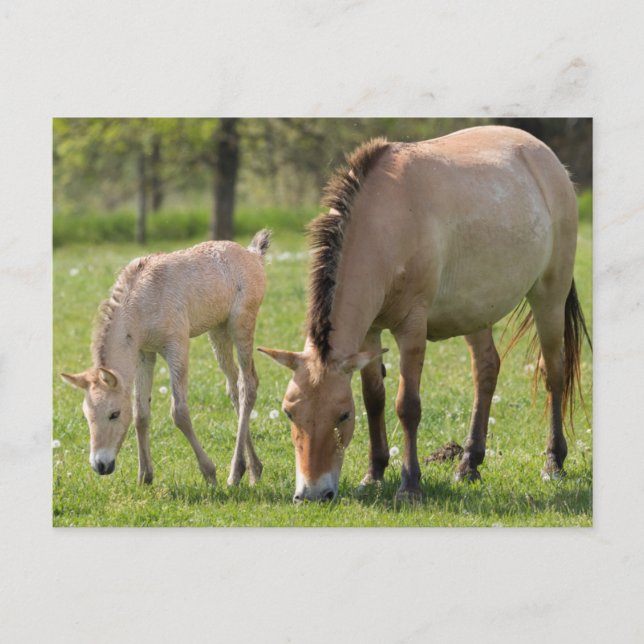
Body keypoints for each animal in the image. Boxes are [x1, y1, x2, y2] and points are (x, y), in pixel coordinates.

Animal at [61, 229, 271, 487]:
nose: (101, 465)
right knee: (235, 389)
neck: (143, 301)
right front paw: (144, 476)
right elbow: (141, 413)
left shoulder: (176, 346)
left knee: (248, 385)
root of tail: (253, 255)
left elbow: (179, 413)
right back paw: (252, 470)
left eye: (114, 414)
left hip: (241, 324)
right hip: (218, 331)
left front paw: (209, 472)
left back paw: (234, 473)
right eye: (86, 416)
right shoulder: (144, 354)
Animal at [259, 126, 590, 502]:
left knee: (554, 372)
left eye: (342, 415)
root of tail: (546, 158)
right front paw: (374, 474)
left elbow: (407, 406)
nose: (313, 493)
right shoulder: (370, 334)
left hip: (549, 295)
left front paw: (409, 485)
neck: (384, 221)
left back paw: (553, 462)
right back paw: (468, 464)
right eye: (289, 413)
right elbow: (375, 398)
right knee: (486, 370)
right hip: (475, 310)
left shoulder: (412, 330)